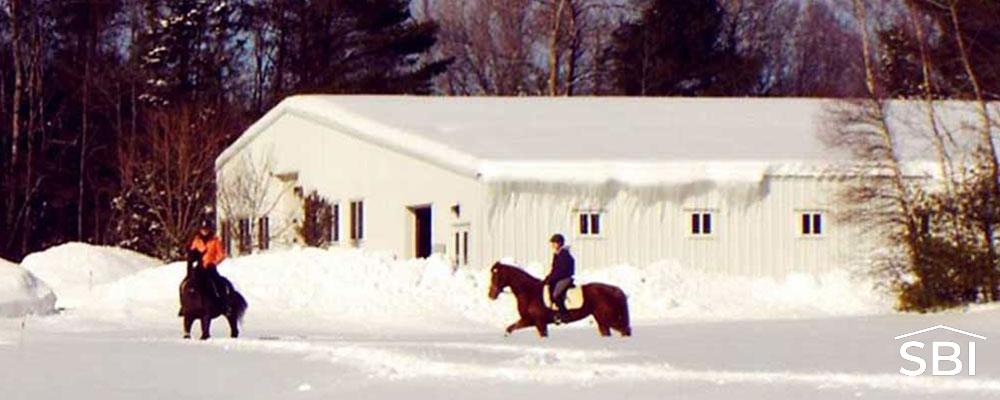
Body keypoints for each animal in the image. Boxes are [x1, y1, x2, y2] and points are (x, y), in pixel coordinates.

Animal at [486, 262, 632, 338]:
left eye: (496, 277)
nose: (491, 295)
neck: (529, 292)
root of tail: (615, 290)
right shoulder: (528, 321)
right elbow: (510, 328)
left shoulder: (539, 322)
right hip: (602, 321)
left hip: (609, 319)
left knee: (624, 330)